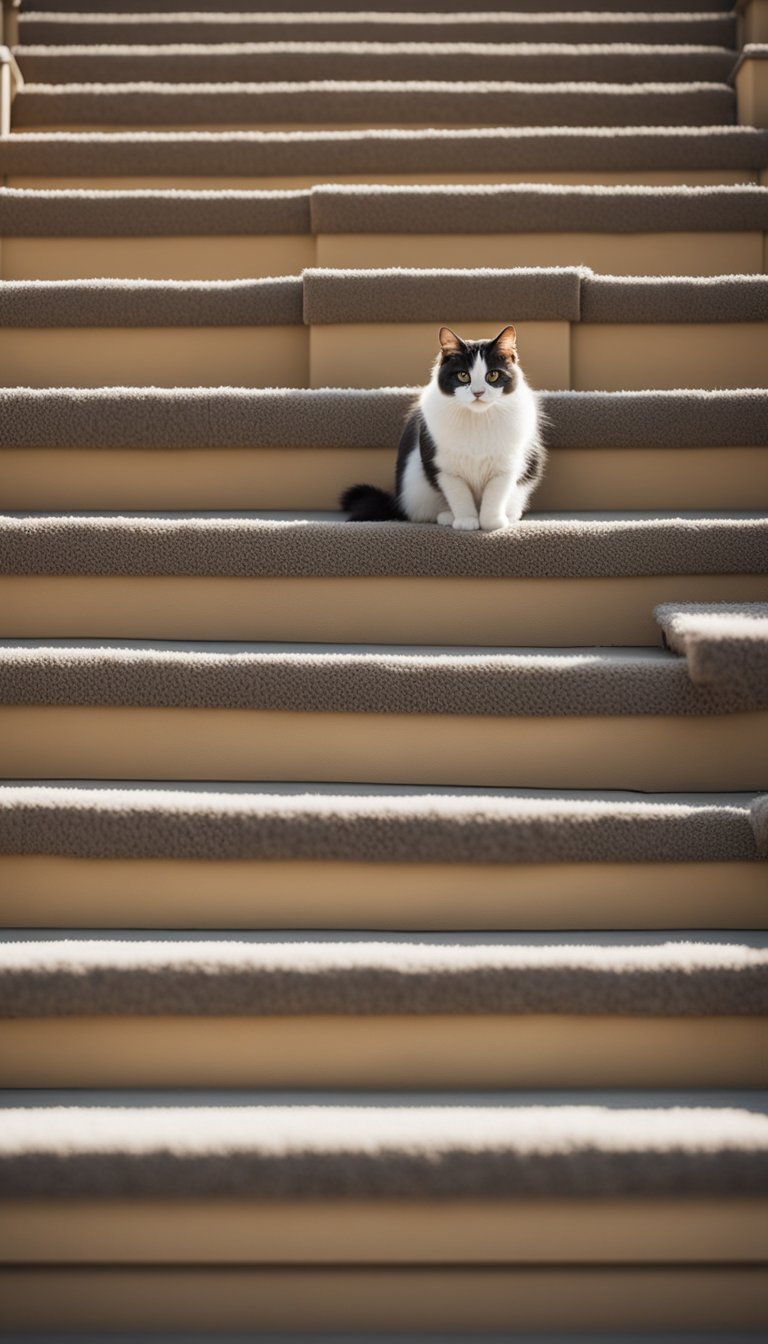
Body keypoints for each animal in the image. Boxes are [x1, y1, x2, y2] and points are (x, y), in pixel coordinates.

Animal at [338, 323, 543, 529]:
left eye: (493, 375)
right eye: (463, 375)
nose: (478, 392)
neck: (476, 419)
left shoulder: (506, 467)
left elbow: (495, 497)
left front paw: (491, 523)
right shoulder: (445, 469)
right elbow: (460, 497)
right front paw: (466, 521)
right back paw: (447, 517)